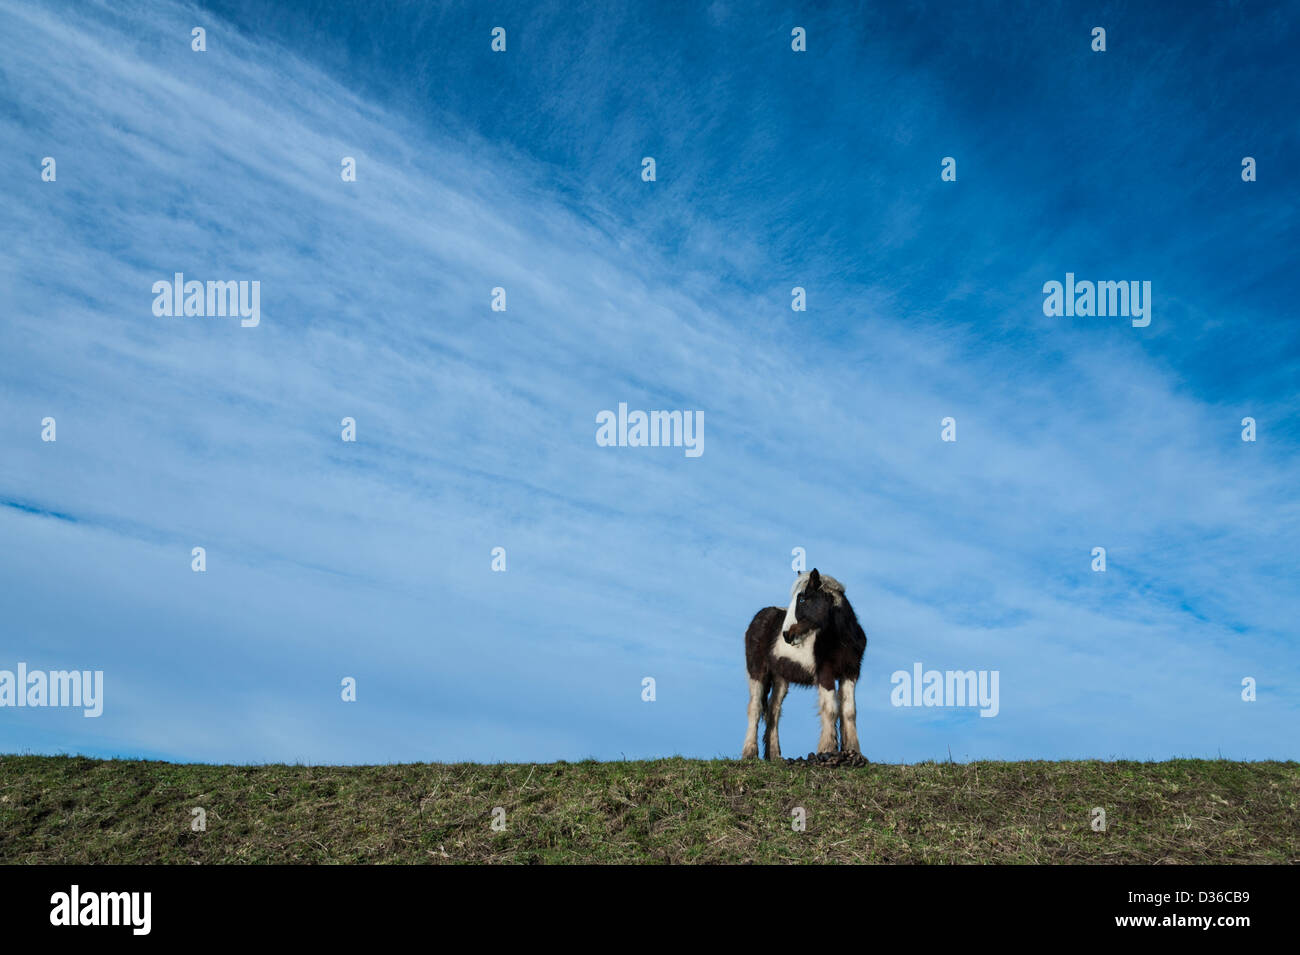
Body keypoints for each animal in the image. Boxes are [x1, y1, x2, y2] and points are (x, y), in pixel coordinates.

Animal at [743, 566, 863, 764]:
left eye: (802, 598)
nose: (786, 635)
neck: (840, 639)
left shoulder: (850, 673)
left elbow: (849, 711)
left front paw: (853, 753)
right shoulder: (825, 674)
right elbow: (831, 710)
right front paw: (827, 751)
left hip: (781, 679)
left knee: (774, 712)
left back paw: (775, 756)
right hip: (757, 672)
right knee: (755, 708)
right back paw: (749, 754)